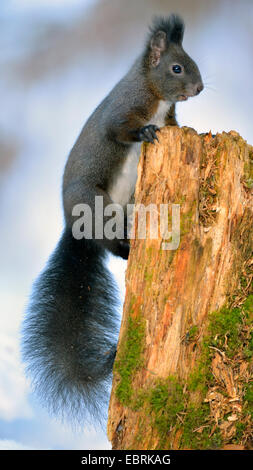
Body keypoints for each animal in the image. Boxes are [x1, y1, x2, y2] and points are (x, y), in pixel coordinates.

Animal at [21, 14, 204, 426]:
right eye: (177, 67)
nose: (199, 88)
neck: (155, 95)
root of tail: (74, 228)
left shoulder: (169, 115)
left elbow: (175, 126)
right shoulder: (124, 109)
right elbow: (119, 130)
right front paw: (146, 132)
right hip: (97, 205)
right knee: (109, 241)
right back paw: (126, 248)